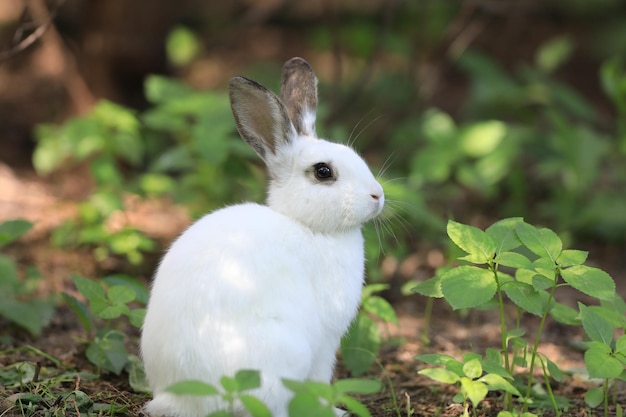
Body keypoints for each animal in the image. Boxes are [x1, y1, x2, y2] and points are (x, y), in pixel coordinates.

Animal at [141, 57, 382, 416]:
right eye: (323, 172)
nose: (377, 195)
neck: (306, 226)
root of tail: (180, 397)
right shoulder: (325, 343)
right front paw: (332, 409)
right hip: (288, 354)